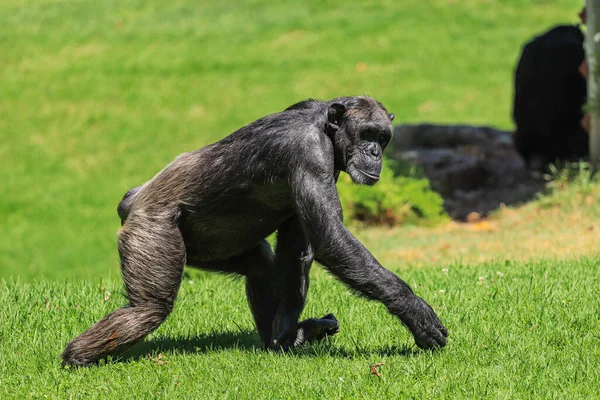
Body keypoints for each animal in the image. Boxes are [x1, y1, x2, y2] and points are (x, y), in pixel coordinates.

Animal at [62, 95, 446, 368]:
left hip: (206, 245)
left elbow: (297, 247)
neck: (326, 128)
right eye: (366, 133)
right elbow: (329, 237)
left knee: (260, 266)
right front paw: (417, 314)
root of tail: (133, 199)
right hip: (152, 229)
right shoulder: (310, 153)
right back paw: (75, 358)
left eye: (383, 137)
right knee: (149, 308)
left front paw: (289, 335)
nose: (375, 152)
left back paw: (276, 341)